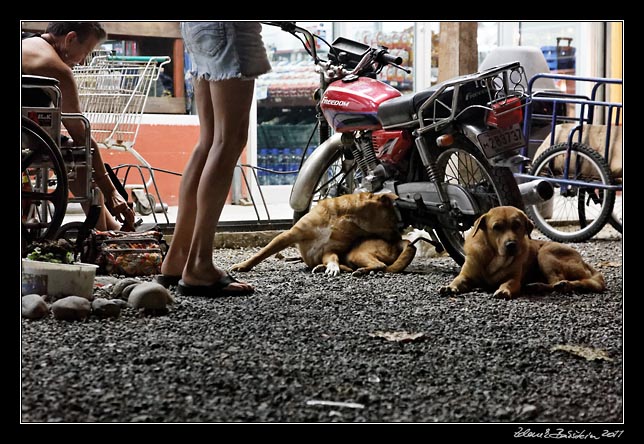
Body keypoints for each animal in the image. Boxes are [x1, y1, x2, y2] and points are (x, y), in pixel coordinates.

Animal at [231, 193, 418, 276]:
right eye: (393, 220)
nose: (399, 238)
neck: (343, 218)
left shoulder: (330, 251)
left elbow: (333, 259)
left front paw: (332, 267)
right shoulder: (289, 235)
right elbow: (262, 253)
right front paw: (243, 265)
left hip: (357, 253)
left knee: (379, 265)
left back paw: (357, 270)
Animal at [438, 206, 604, 298]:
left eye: (517, 225)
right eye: (496, 227)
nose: (511, 244)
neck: (495, 257)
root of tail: (583, 261)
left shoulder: (513, 278)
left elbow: (508, 283)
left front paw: (503, 290)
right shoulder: (466, 275)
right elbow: (458, 280)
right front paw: (450, 287)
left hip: (545, 253)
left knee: (562, 280)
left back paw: (558, 285)